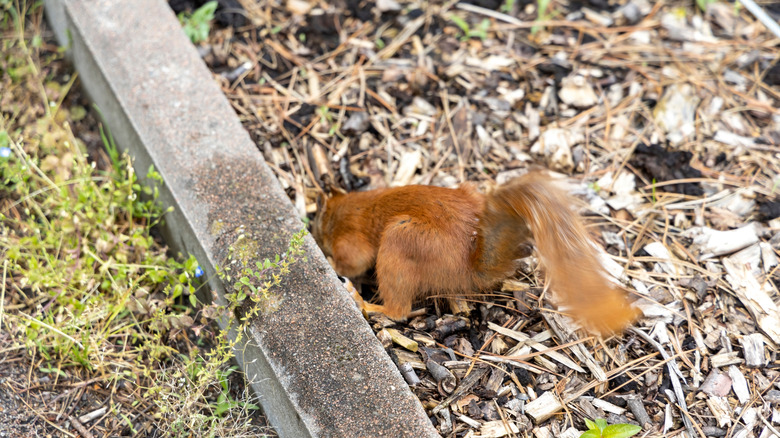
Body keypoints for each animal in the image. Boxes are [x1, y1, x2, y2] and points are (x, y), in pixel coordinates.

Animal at [312, 171, 639, 335]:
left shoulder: (352, 240)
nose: (313, 232)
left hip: (400, 241)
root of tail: (469, 265)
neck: (352, 207)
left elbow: (353, 262)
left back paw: (363, 302)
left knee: (398, 310)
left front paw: (329, 260)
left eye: (316, 222)